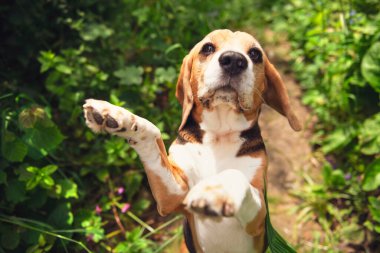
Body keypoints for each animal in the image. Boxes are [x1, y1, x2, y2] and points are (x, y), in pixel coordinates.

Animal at [83, 28, 300, 252]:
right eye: (208, 48)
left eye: (255, 54)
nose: (233, 60)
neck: (219, 135)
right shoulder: (174, 194)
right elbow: (152, 132)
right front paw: (117, 115)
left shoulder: (259, 220)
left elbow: (235, 175)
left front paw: (216, 191)